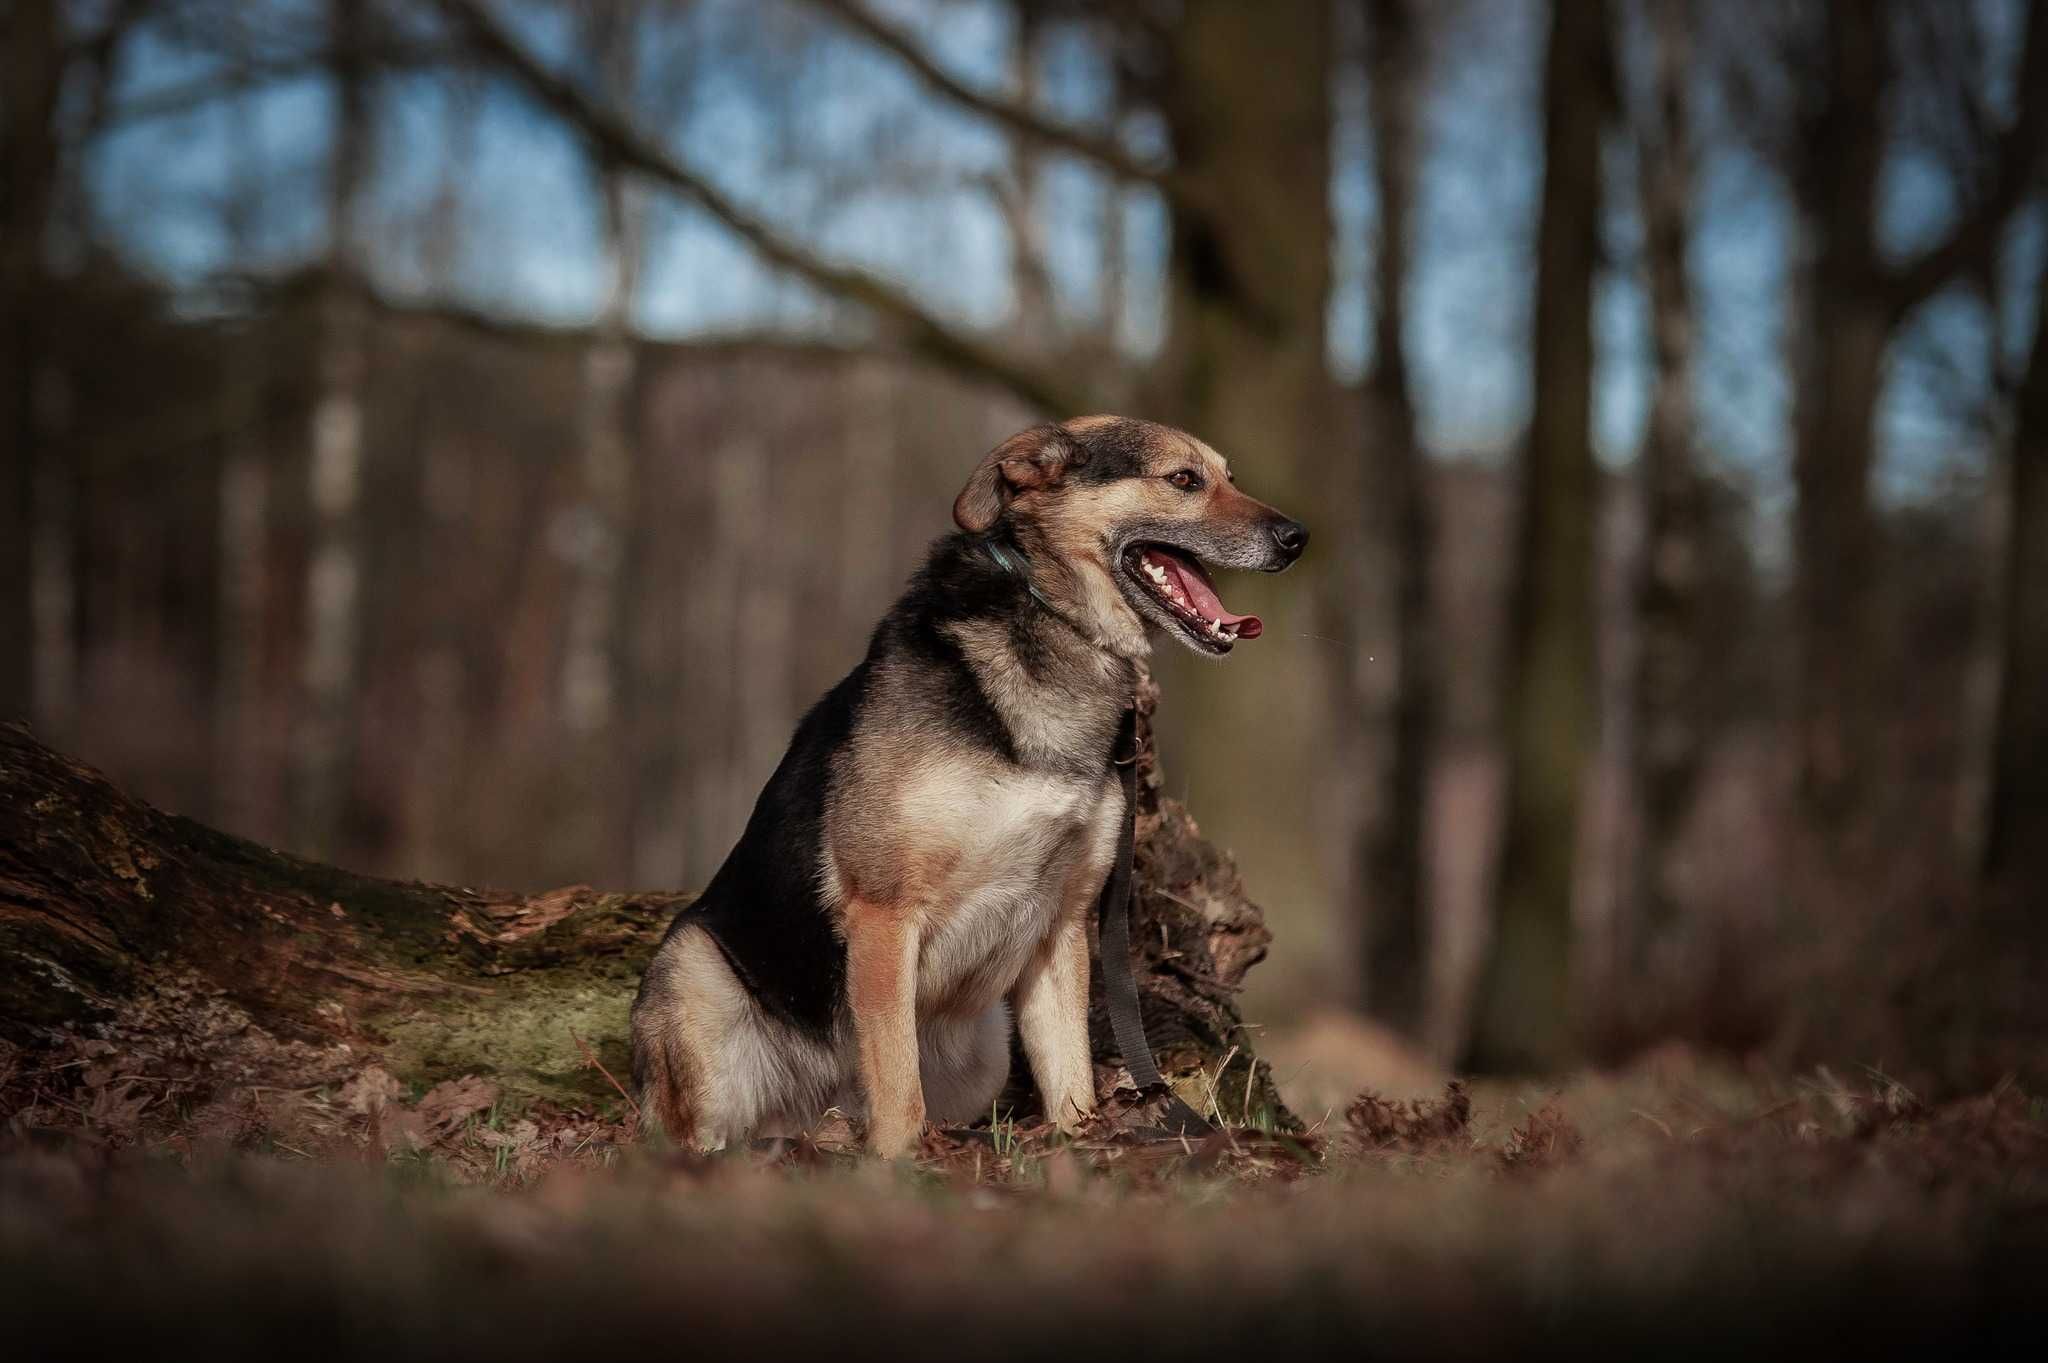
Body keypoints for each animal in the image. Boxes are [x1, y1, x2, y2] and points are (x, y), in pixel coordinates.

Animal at [626, 411, 1310, 1146]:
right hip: (694, 978)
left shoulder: (1063, 923)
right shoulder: (883, 913)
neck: (1054, 620)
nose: (1298, 538)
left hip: (985, 1047)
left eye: (1229, 476)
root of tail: (820, 1112)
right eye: (1183, 479)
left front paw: (1079, 1144)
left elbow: (1070, 1078)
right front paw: (901, 1164)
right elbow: (899, 1094)